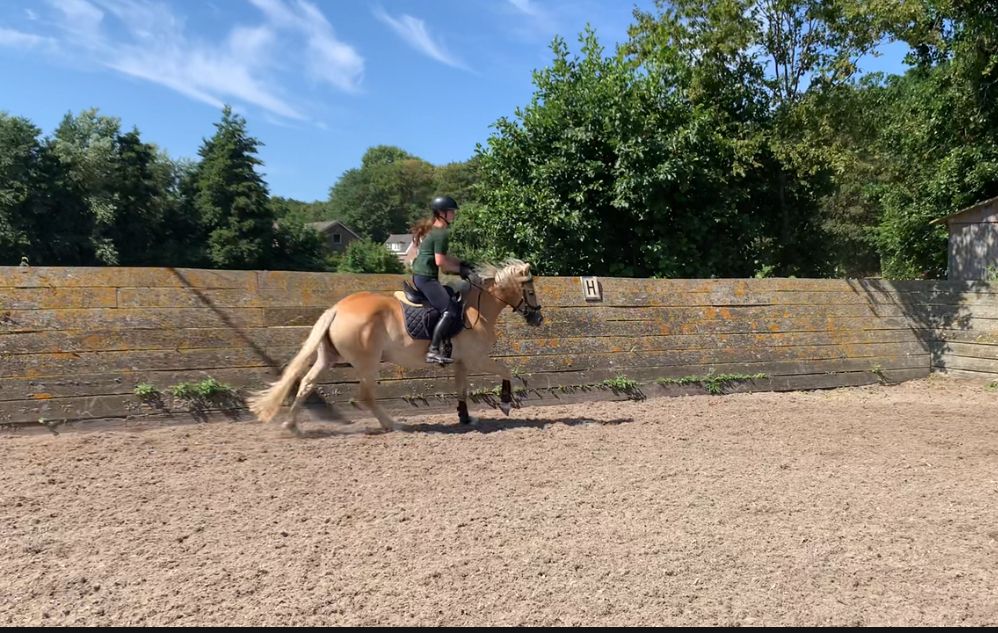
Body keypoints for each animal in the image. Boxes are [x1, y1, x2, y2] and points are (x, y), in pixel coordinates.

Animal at [247, 259, 544, 434]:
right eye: (530, 291)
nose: (538, 319)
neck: (475, 310)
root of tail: (337, 308)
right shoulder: (477, 359)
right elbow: (505, 370)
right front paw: (505, 404)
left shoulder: (460, 363)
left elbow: (461, 389)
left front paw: (466, 419)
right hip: (367, 363)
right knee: (366, 396)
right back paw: (393, 424)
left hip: (328, 358)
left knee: (307, 383)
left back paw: (291, 425)